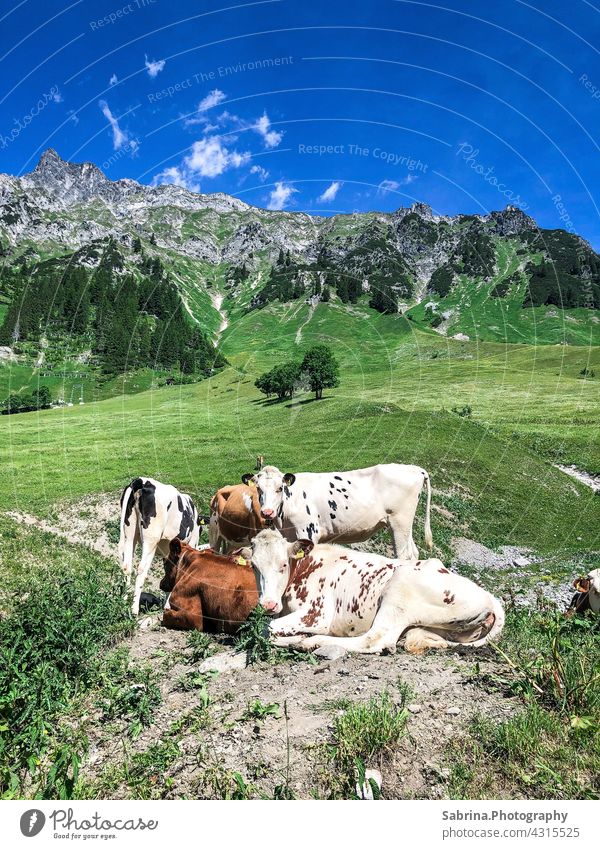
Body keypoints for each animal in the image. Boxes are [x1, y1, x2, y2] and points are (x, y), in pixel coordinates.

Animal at [118, 474, 207, 612]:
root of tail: (141, 480)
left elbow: (169, 573)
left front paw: (166, 604)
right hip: (150, 539)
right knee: (141, 569)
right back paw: (134, 610)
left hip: (130, 534)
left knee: (127, 567)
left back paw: (123, 603)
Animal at [241, 460, 434, 560]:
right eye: (258, 488)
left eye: (280, 488)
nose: (267, 512)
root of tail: (415, 469)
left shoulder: (308, 533)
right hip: (404, 525)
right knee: (414, 553)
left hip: (399, 522)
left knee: (404, 555)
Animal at [241, 528, 504, 656]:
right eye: (254, 566)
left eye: (283, 564)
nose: (268, 604)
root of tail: (490, 598)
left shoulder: (317, 613)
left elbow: (266, 629)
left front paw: (298, 637)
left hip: (399, 589)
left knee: (375, 639)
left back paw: (313, 642)